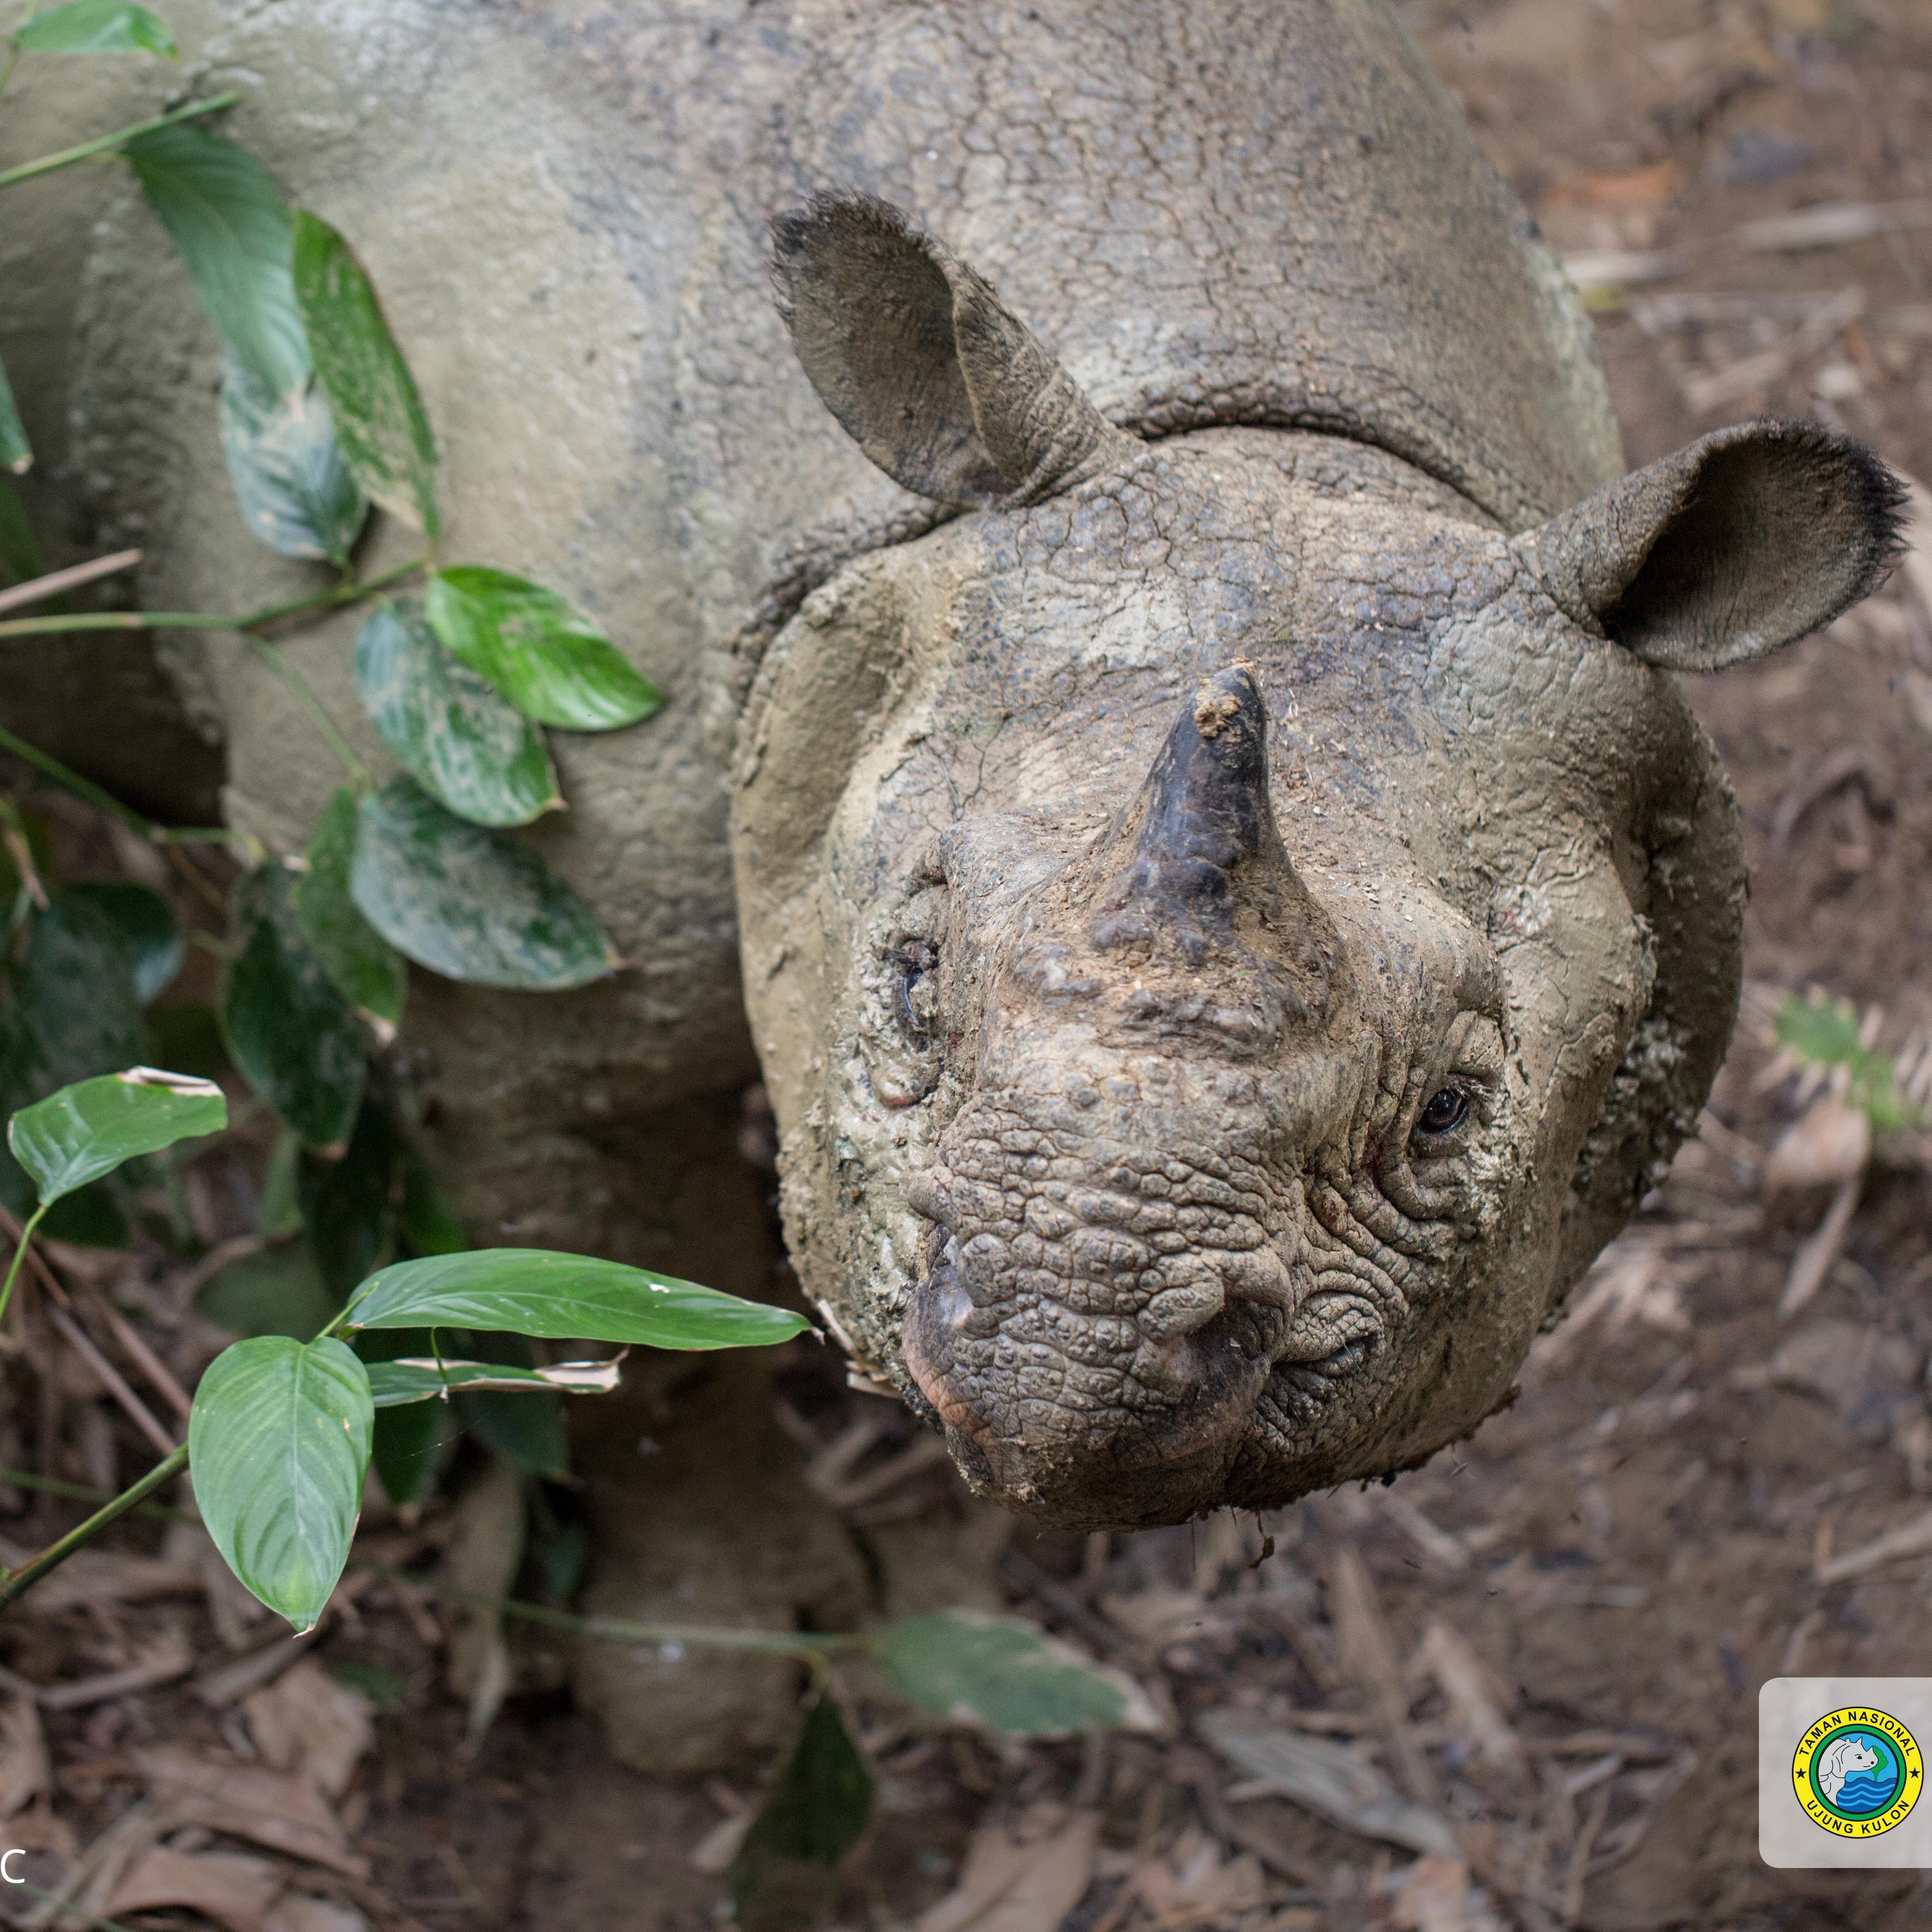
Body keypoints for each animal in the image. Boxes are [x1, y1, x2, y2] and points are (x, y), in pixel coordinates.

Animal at [6, 3, 1899, 1541]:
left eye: (1449, 1109)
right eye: (910, 980)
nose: (1072, 1359)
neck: (1271, 429)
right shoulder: (493, 909)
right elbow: (605, 1321)